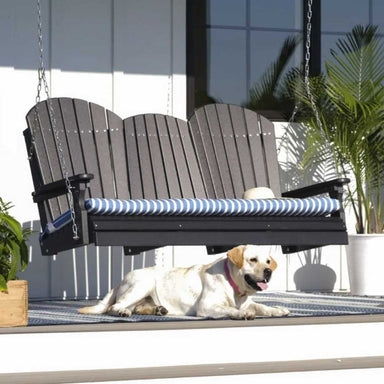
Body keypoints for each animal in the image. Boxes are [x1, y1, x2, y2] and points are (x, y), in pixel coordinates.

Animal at [79, 244, 288, 320]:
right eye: (252, 260)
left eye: (267, 261)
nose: (268, 271)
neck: (235, 288)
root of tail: (120, 280)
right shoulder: (207, 306)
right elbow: (231, 309)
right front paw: (242, 314)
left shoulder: (249, 302)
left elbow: (262, 307)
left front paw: (277, 310)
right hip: (143, 284)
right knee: (115, 306)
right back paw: (123, 311)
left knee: (137, 307)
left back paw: (158, 310)